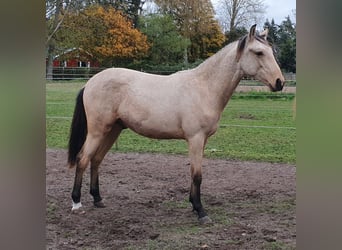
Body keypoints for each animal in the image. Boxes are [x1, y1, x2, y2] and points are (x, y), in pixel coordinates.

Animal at [67, 24, 284, 225]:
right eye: (258, 52)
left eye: (271, 51)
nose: (279, 82)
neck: (204, 87)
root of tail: (90, 83)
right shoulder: (195, 139)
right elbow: (197, 175)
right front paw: (201, 212)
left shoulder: (202, 141)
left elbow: (194, 173)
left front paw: (193, 205)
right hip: (97, 131)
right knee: (83, 159)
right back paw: (76, 203)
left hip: (113, 130)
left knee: (96, 160)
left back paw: (98, 199)